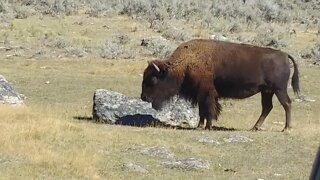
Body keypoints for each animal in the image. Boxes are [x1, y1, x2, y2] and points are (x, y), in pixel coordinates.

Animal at [141, 39, 300, 131]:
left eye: (153, 79)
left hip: (279, 89)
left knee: (286, 104)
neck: (186, 63)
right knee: (267, 107)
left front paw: (208, 126)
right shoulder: (200, 93)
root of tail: (284, 55)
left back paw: (286, 128)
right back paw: (254, 128)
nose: (143, 97)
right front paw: (200, 126)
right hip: (267, 91)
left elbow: (208, 109)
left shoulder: (207, 92)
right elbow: (202, 110)